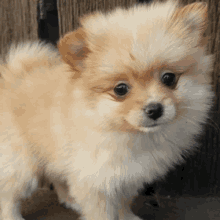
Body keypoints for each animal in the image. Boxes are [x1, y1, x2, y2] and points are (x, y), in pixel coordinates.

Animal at [0, 0, 214, 220]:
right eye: (120, 89)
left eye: (169, 78)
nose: (154, 109)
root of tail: (11, 77)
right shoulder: (95, 182)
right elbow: (102, 213)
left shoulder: (127, 178)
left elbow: (123, 203)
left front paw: (128, 217)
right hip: (22, 165)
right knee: (8, 195)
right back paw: (12, 216)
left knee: (56, 176)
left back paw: (69, 200)